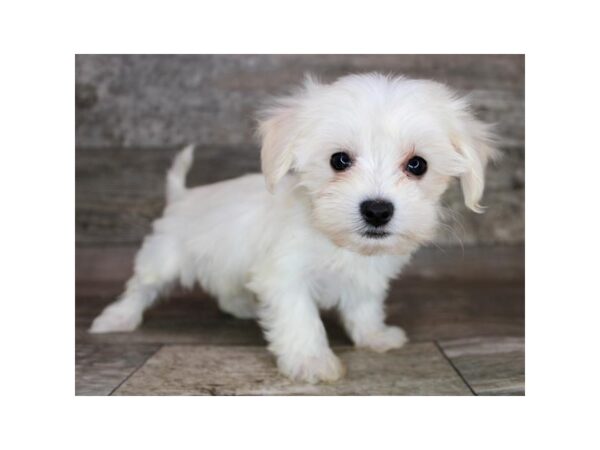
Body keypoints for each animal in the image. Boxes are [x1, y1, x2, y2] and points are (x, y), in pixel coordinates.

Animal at [90, 73, 496, 384]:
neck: (332, 235)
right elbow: (301, 320)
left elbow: (364, 307)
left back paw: (240, 306)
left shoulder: (366, 276)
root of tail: (182, 195)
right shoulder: (285, 276)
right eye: (339, 160)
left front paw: (375, 337)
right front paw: (312, 362)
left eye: (417, 165)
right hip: (164, 254)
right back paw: (117, 318)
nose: (377, 210)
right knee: (141, 287)